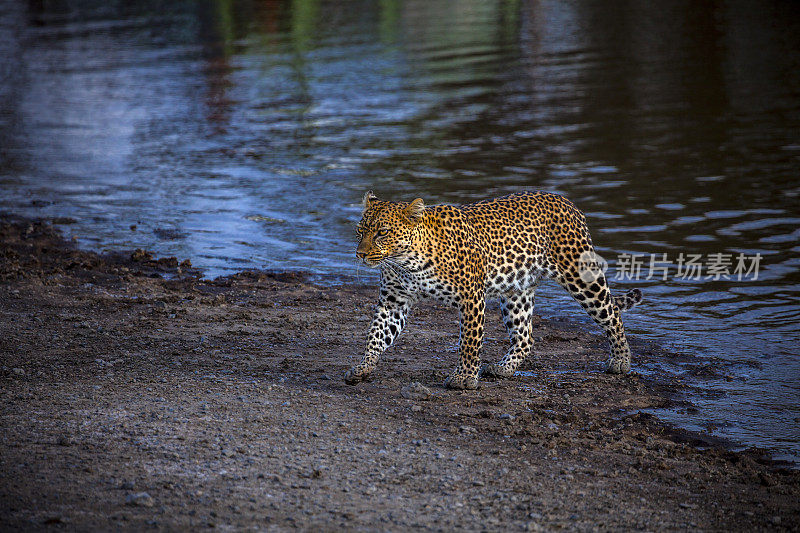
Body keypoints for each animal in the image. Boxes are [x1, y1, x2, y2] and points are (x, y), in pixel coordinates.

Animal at [346, 189, 644, 388]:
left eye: (382, 232)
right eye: (360, 230)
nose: (360, 254)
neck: (406, 261)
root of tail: (567, 201)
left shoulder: (471, 298)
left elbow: (469, 341)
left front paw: (464, 378)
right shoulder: (393, 301)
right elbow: (376, 334)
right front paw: (363, 367)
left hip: (582, 277)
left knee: (612, 313)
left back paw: (620, 361)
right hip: (517, 291)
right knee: (525, 336)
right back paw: (503, 369)